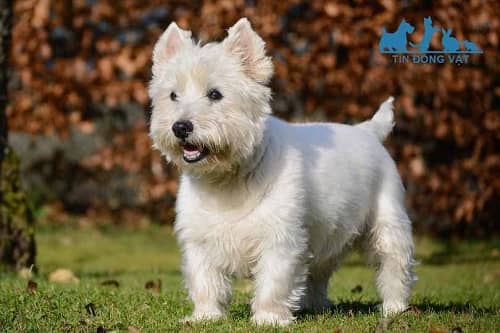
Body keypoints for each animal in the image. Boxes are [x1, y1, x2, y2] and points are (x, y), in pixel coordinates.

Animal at [149, 17, 418, 324]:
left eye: (215, 94)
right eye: (173, 95)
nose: (180, 127)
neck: (226, 179)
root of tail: (368, 131)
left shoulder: (280, 237)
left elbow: (273, 280)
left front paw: (268, 318)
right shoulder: (199, 239)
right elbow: (205, 280)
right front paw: (205, 317)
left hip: (387, 220)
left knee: (394, 265)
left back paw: (393, 308)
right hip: (327, 233)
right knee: (319, 272)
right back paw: (316, 305)